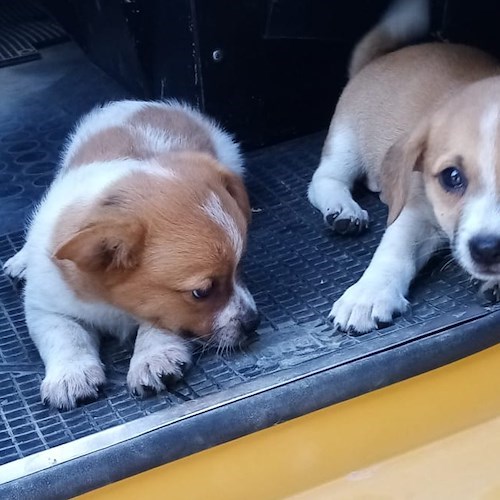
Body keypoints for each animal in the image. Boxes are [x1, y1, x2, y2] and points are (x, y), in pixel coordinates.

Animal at [3, 99, 260, 408]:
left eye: (241, 265)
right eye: (201, 292)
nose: (254, 323)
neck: (110, 304)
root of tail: (146, 104)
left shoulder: (160, 309)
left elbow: (156, 324)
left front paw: (152, 358)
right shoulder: (45, 307)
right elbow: (66, 337)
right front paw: (71, 375)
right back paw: (21, 260)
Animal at [306, 0, 500, 336]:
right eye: (452, 177)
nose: (487, 249)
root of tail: (377, 59)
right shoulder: (416, 209)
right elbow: (393, 252)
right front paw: (367, 296)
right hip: (345, 143)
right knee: (323, 180)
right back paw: (343, 209)